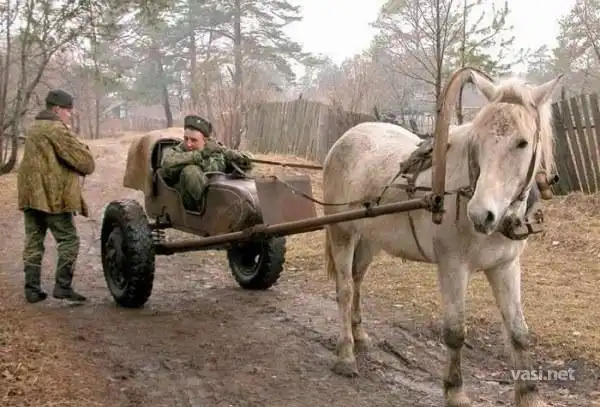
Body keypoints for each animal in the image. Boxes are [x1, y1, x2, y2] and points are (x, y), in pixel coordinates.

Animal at [321, 67, 562, 407]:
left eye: (523, 143)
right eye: (478, 139)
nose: (481, 214)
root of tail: (346, 138)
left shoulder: (505, 266)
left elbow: (518, 332)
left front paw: (529, 395)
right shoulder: (452, 267)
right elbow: (455, 332)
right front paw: (455, 390)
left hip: (368, 239)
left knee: (357, 280)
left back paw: (359, 335)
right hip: (341, 231)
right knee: (343, 289)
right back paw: (345, 354)